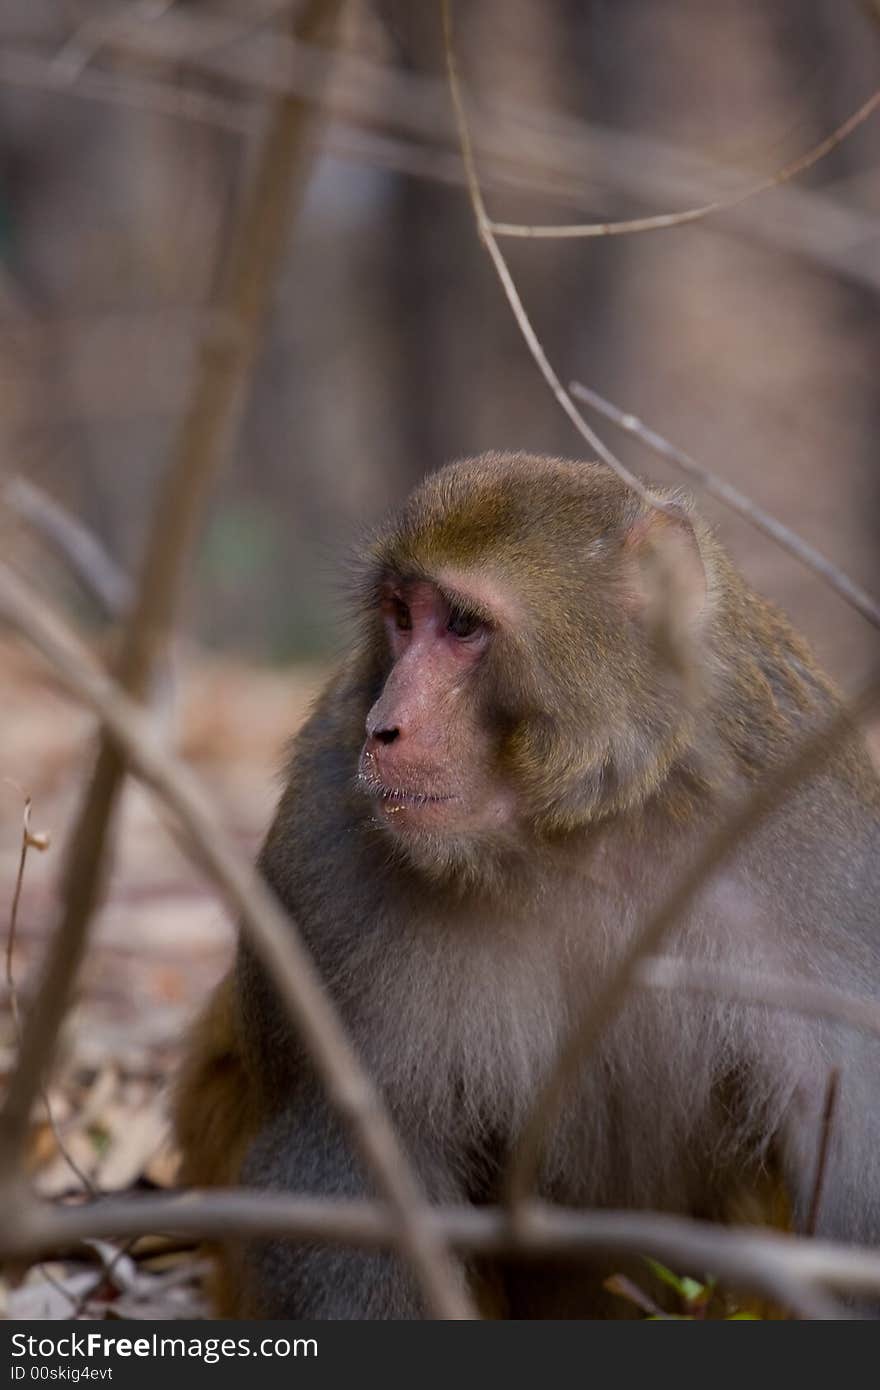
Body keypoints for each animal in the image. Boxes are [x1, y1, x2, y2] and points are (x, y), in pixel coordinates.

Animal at [175, 453, 878, 1312]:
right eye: (401, 616)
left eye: (463, 626)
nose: (384, 728)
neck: (581, 829)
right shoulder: (327, 863)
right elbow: (344, 1168)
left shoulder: (818, 851)